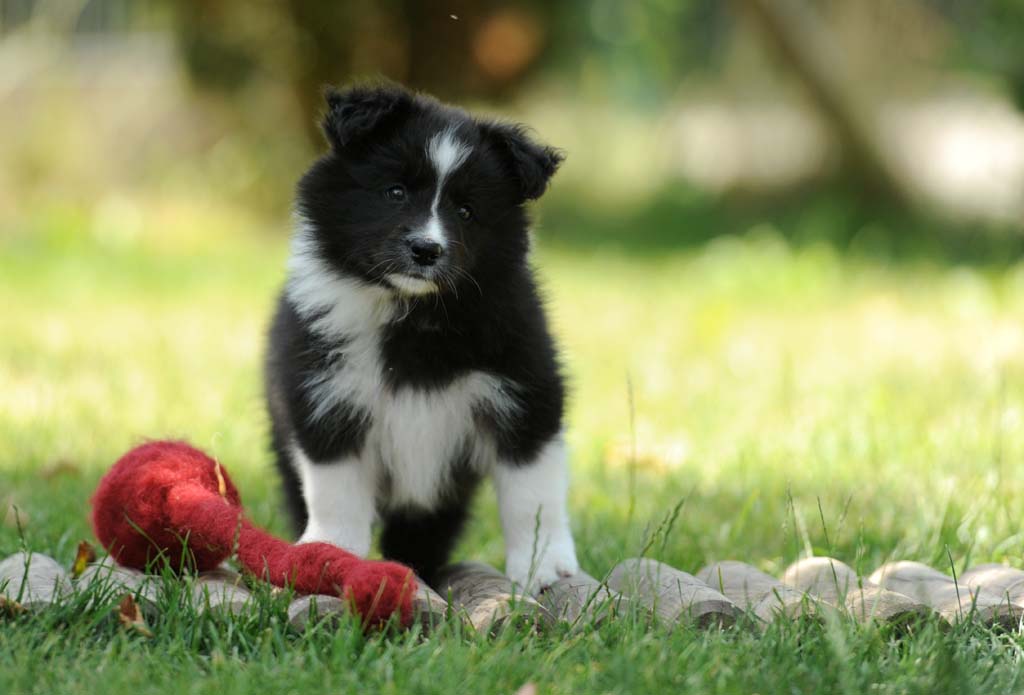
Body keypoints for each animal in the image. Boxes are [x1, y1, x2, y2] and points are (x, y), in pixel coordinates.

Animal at [264, 82, 581, 593]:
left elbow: (533, 491)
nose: (426, 249)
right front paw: (332, 551)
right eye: (394, 192)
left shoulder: (526, 393)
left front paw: (544, 567)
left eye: (467, 211)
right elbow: (335, 490)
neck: (415, 315)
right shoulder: (325, 399)